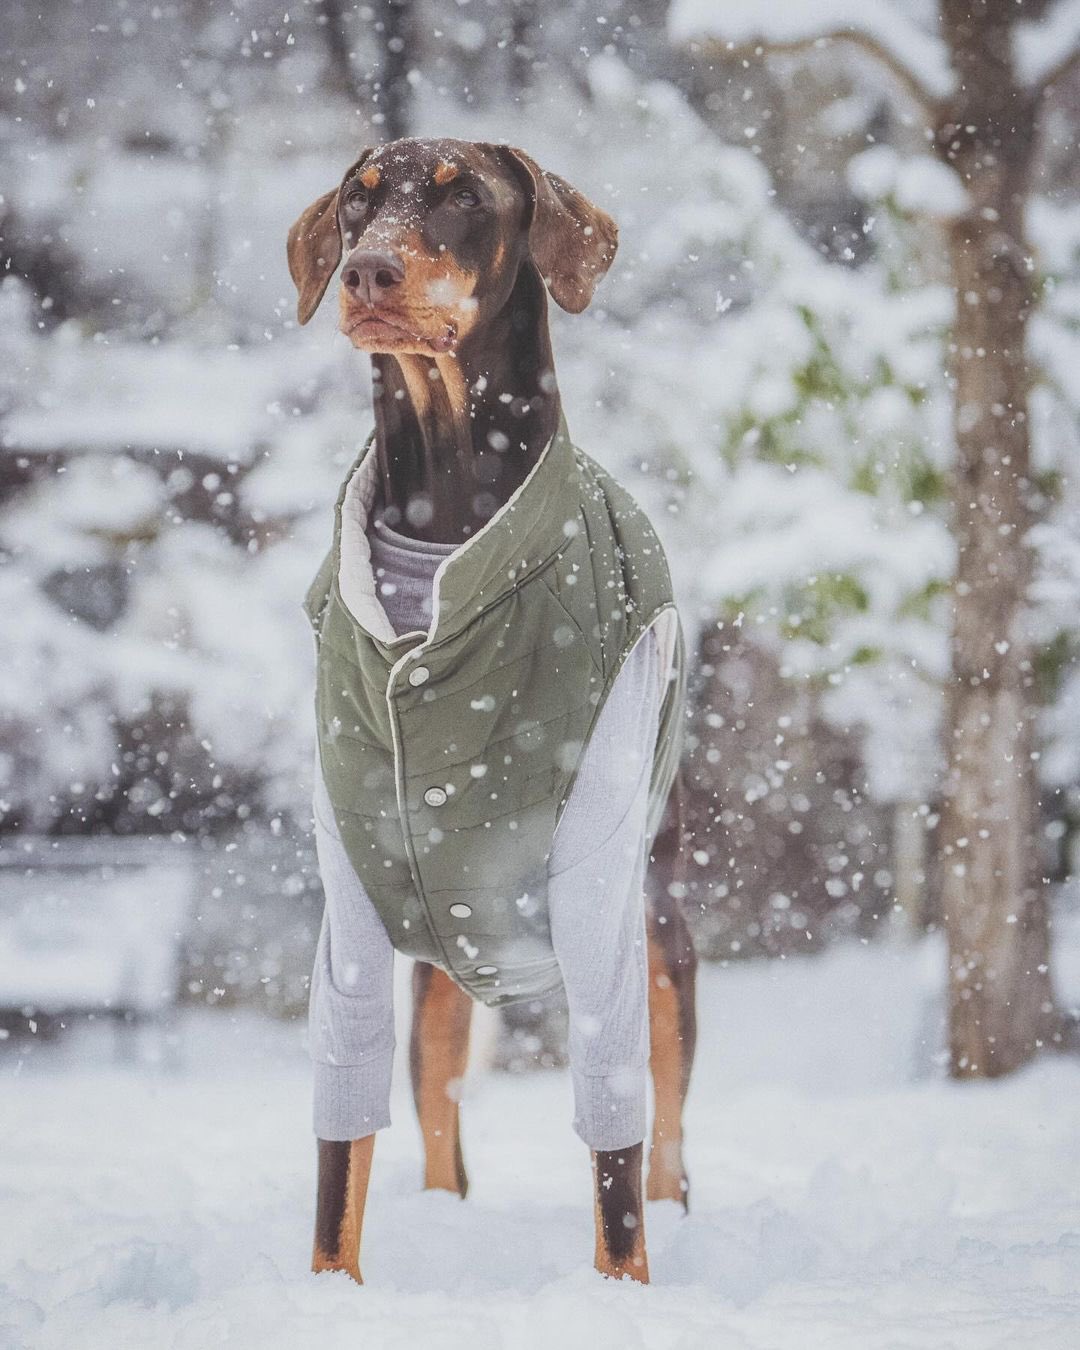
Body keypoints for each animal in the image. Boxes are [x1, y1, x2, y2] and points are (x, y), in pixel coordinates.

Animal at [282, 137, 696, 1285]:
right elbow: (341, 1130)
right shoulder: (355, 874)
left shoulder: (603, 889)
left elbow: (615, 1138)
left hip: (661, 917)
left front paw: (622, 1295)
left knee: (665, 1107)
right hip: (442, 946)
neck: (450, 520)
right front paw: (329, 1294)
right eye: (356, 202)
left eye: (464, 193)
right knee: (436, 1092)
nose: (365, 271)